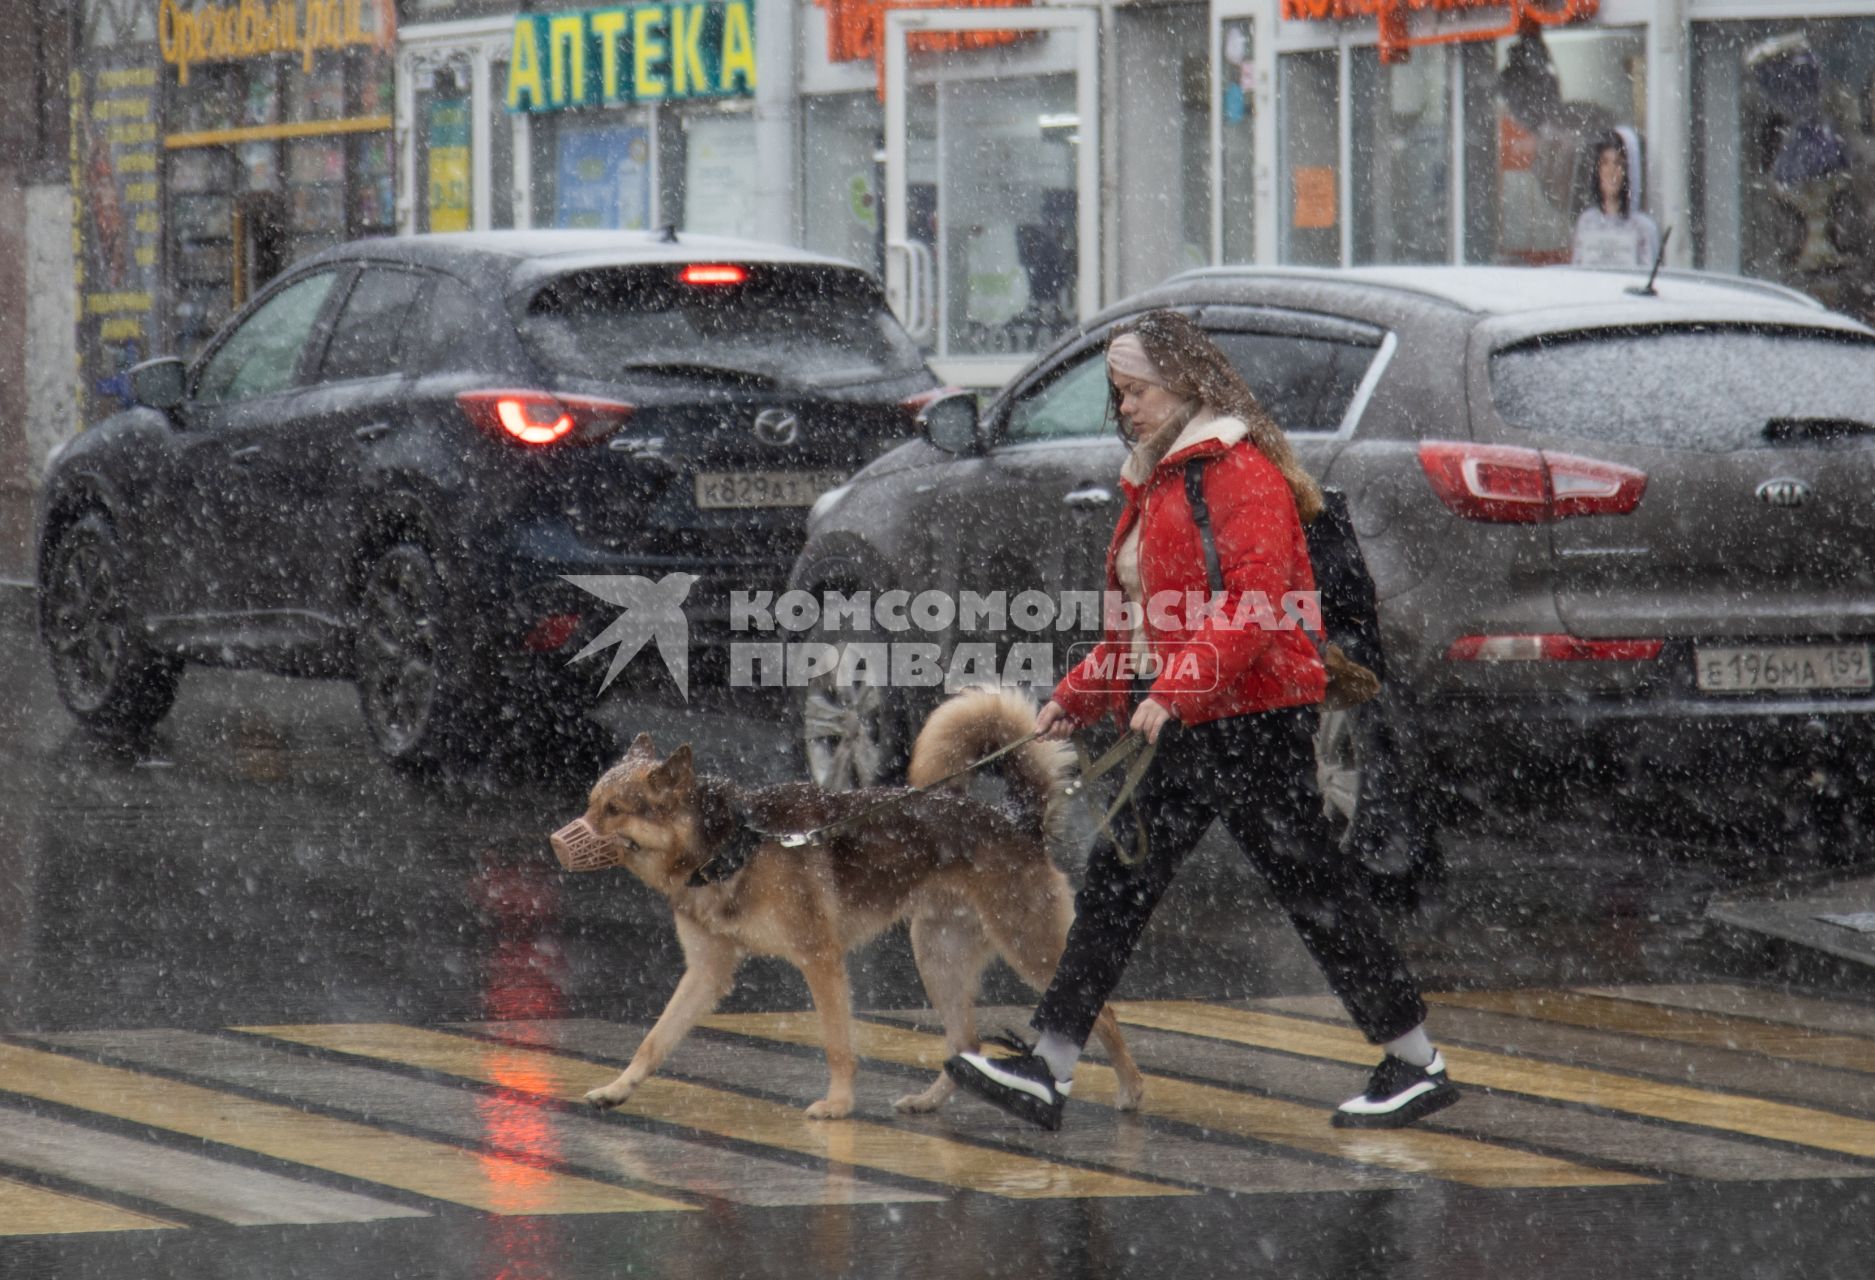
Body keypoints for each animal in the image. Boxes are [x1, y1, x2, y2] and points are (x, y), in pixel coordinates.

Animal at [555, 685, 1140, 1116]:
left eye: (614, 810)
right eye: (591, 803)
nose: (556, 842)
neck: (730, 844)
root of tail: (1020, 822)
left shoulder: (820, 959)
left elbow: (838, 1042)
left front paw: (838, 1106)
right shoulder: (706, 972)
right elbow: (654, 1039)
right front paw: (618, 1088)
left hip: (1028, 947)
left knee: (1104, 1013)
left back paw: (1131, 1090)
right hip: (937, 957)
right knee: (966, 1041)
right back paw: (931, 1101)